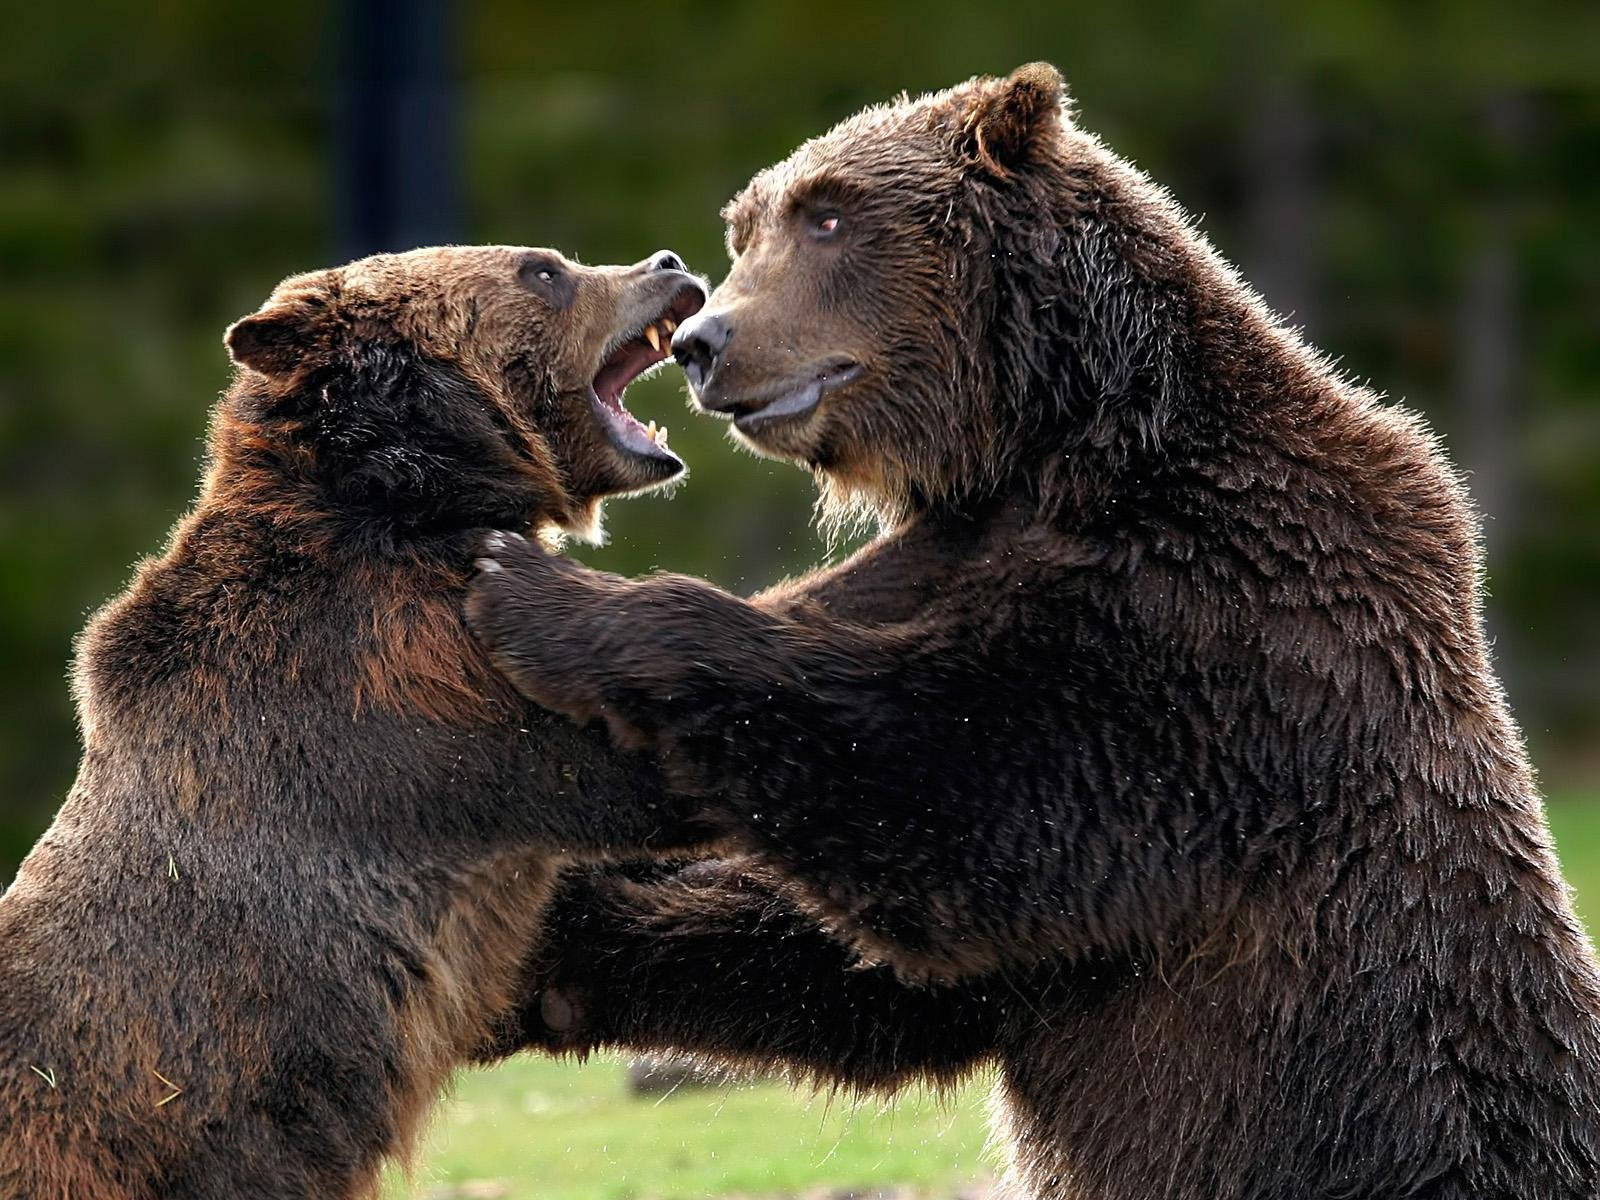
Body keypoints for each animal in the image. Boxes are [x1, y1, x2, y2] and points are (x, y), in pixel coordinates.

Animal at [466, 66, 1600, 1200]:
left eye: (829, 213)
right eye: (747, 228)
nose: (707, 343)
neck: (1061, 451)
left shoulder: (1224, 632)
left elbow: (975, 798)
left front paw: (538, 591)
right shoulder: (955, 564)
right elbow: (878, 965)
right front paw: (552, 944)